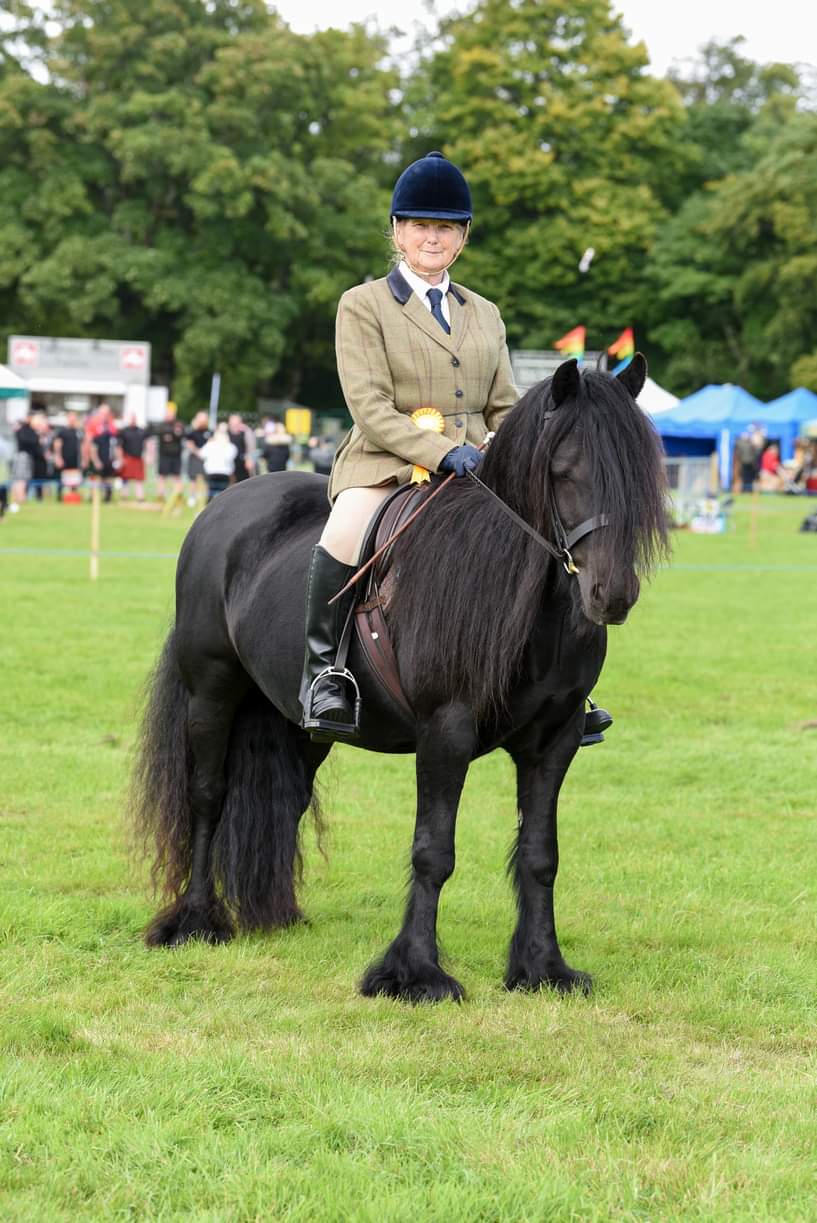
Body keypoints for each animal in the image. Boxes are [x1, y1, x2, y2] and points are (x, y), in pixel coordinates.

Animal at [133, 357, 665, 1002]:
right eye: (564, 471)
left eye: (641, 475)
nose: (611, 595)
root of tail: (222, 505)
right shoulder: (446, 732)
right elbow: (433, 851)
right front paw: (414, 974)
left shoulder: (555, 740)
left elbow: (541, 855)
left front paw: (543, 967)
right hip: (212, 691)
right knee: (209, 795)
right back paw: (194, 921)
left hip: (300, 722)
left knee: (288, 799)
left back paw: (276, 913)